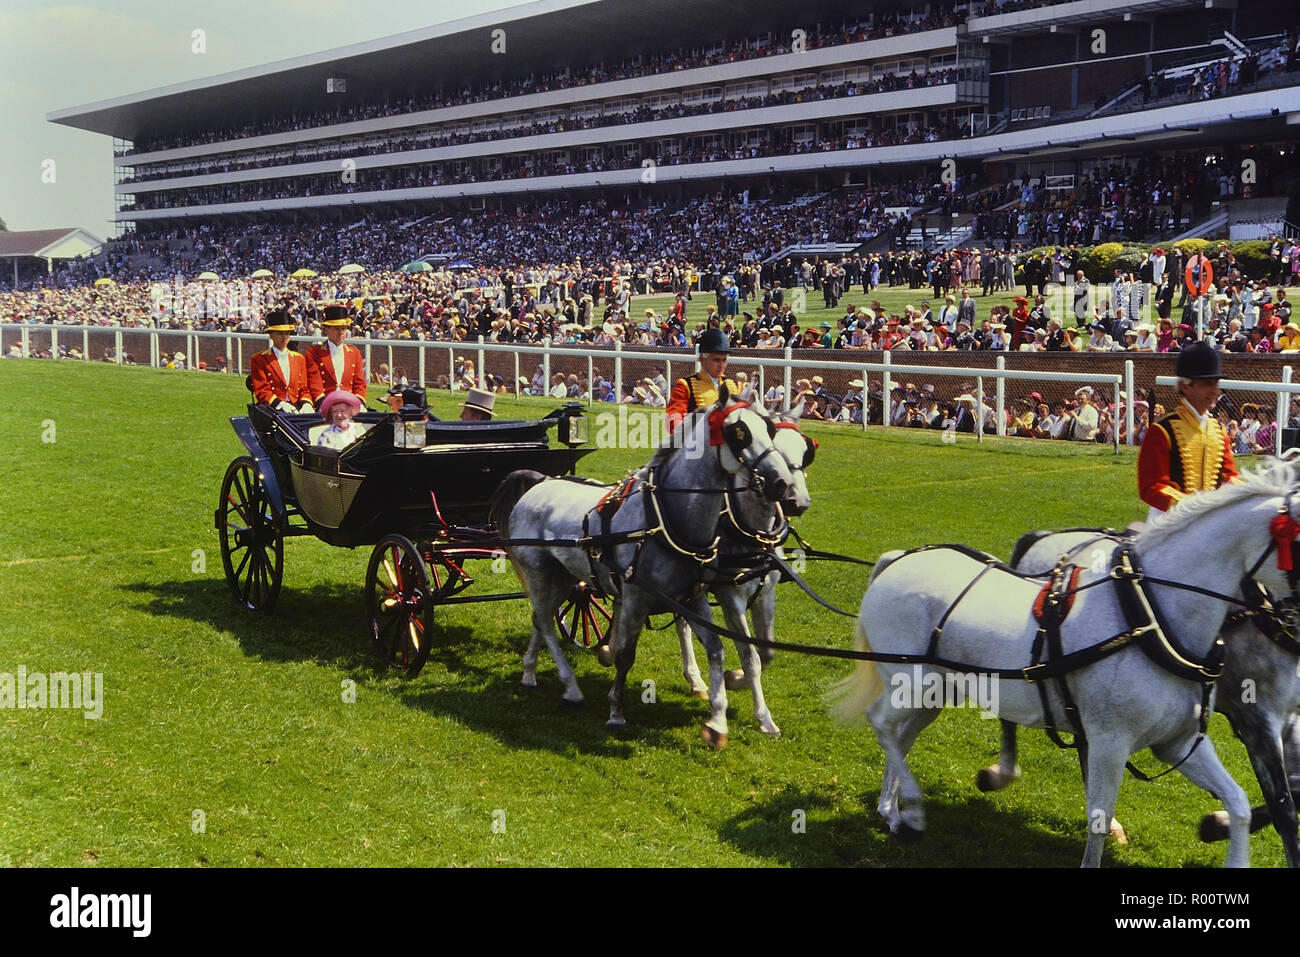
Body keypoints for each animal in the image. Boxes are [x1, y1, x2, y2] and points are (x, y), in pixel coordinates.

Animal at [493, 395, 790, 748]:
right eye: (740, 433)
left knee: (541, 619)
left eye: (769, 428)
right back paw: (572, 687)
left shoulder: (693, 599)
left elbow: (718, 650)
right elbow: (625, 656)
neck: (666, 519)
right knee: (546, 624)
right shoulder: (637, 598)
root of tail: (539, 482)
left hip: (564, 578)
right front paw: (616, 713)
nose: (782, 482)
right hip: (538, 571)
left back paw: (529, 673)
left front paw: (718, 721)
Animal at [826, 462, 1300, 868]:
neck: (1151, 616)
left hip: (934, 694)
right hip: (910, 685)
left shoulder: (1179, 742)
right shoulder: (1111, 741)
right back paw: (909, 810)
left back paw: (891, 809)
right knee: (881, 724)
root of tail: (898, 560)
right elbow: (1099, 821)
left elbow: (1241, 804)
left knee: (901, 737)